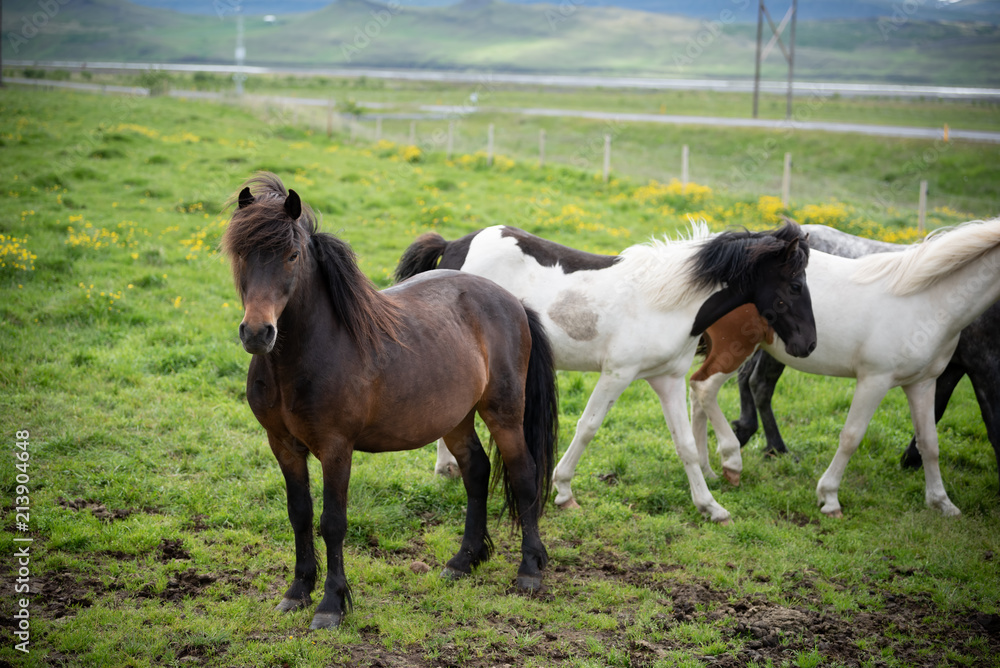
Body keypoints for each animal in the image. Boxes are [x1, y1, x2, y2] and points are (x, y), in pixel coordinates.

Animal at [221, 173, 559, 630]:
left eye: (292, 255)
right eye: (240, 253)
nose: (258, 333)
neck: (309, 353)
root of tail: (514, 303)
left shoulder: (336, 449)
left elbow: (332, 522)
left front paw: (331, 605)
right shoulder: (283, 446)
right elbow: (299, 515)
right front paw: (297, 591)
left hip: (504, 414)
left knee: (523, 475)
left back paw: (529, 570)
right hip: (455, 418)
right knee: (475, 471)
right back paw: (462, 561)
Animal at [394, 222, 816, 523]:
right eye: (796, 284)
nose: (808, 345)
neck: (669, 303)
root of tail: (453, 245)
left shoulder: (668, 380)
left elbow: (686, 445)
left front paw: (711, 507)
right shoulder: (617, 374)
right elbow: (588, 427)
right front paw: (563, 492)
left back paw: (447, 468)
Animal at [689, 218, 1000, 516]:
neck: (927, 300)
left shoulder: (923, 383)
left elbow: (930, 443)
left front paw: (942, 502)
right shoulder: (875, 380)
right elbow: (851, 436)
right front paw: (829, 497)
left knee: (704, 394)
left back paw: (710, 467)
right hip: (737, 350)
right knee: (707, 389)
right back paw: (732, 459)